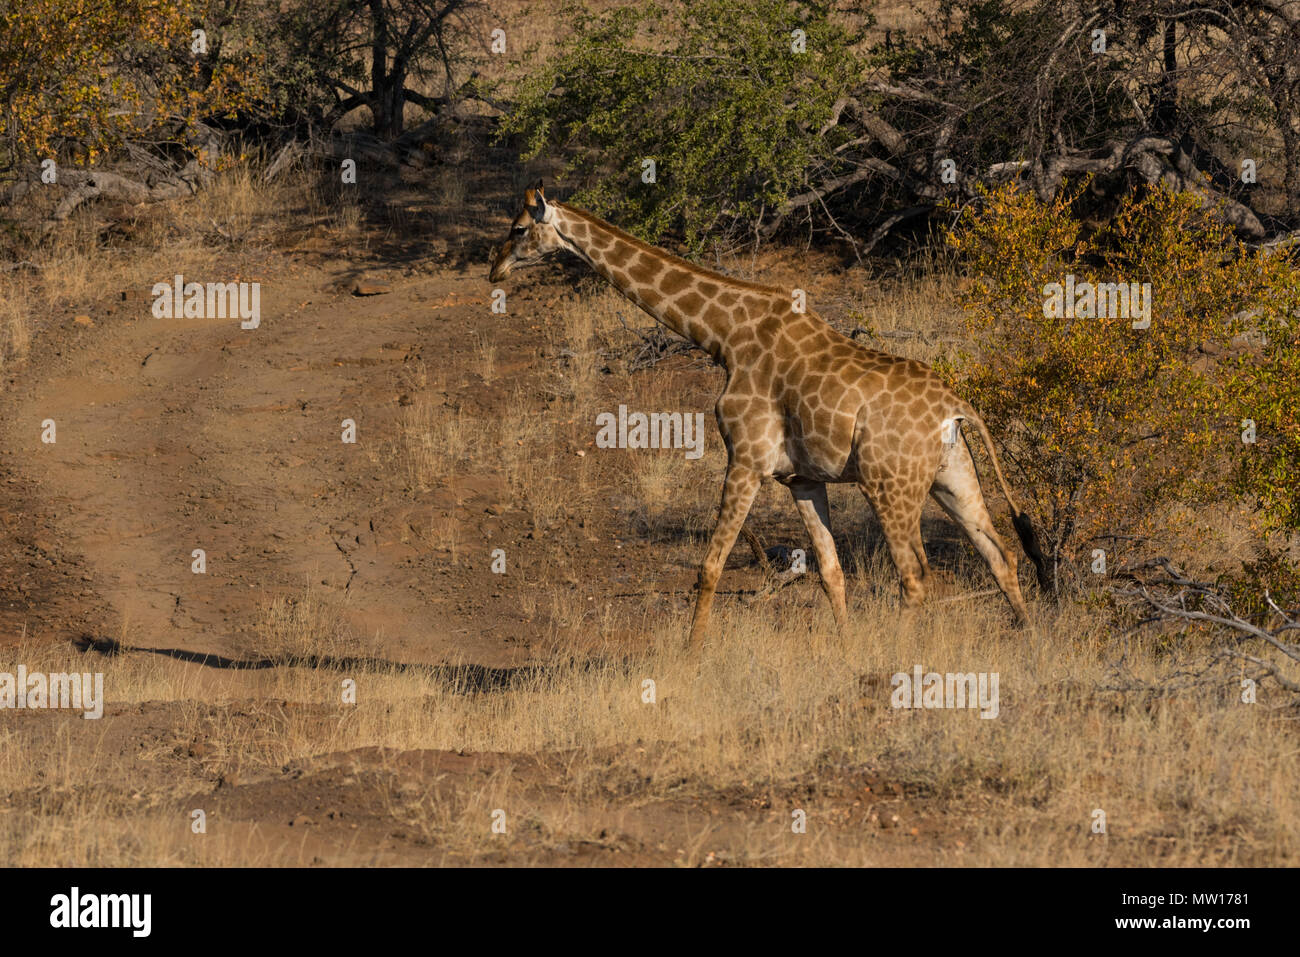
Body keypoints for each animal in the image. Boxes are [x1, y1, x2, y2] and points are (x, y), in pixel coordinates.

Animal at [491, 180, 1050, 642]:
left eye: (518, 228)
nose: (493, 268)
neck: (724, 336)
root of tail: (957, 407)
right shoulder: (801, 478)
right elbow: (830, 572)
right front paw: (847, 654)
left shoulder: (746, 459)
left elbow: (710, 567)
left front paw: (689, 662)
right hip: (951, 475)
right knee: (1001, 557)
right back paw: (1031, 645)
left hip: (889, 484)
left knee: (916, 575)